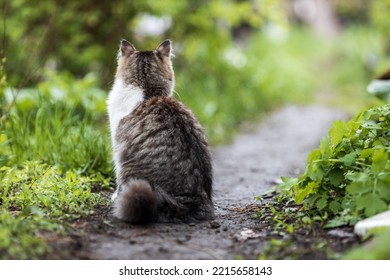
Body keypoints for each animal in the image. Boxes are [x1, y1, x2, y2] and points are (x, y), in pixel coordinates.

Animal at [106, 38, 213, 223]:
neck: (146, 91)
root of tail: (192, 201)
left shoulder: (118, 147)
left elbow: (118, 179)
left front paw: (114, 197)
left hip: (130, 168)